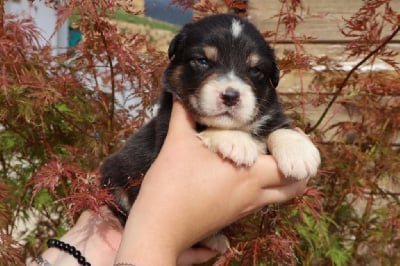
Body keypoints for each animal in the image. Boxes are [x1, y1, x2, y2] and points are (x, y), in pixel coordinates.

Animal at [101, 14, 322, 254]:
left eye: (255, 70)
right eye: (203, 61)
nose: (230, 96)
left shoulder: (269, 109)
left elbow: (278, 125)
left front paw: (299, 152)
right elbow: (205, 126)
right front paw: (237, 142)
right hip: (112, 181)